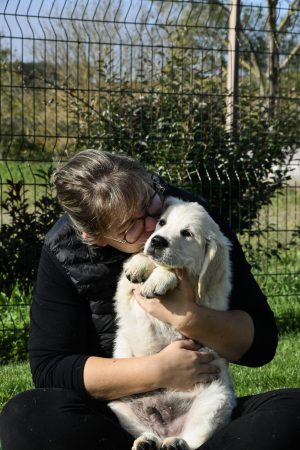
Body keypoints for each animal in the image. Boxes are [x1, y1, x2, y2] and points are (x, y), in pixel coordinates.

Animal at [109, 197, 236, 450]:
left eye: (187, 233)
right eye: (161, 222)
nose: (157, 241)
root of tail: (166, 426)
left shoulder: (205, 299)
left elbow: (173, 269)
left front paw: (161, 277)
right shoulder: (125, 293)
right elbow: (138, 267)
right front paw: (140, 264)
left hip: (214, 399)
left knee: (194, 442)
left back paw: (175, 443)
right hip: (120, 406)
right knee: (147, 432)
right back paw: (146, 442)